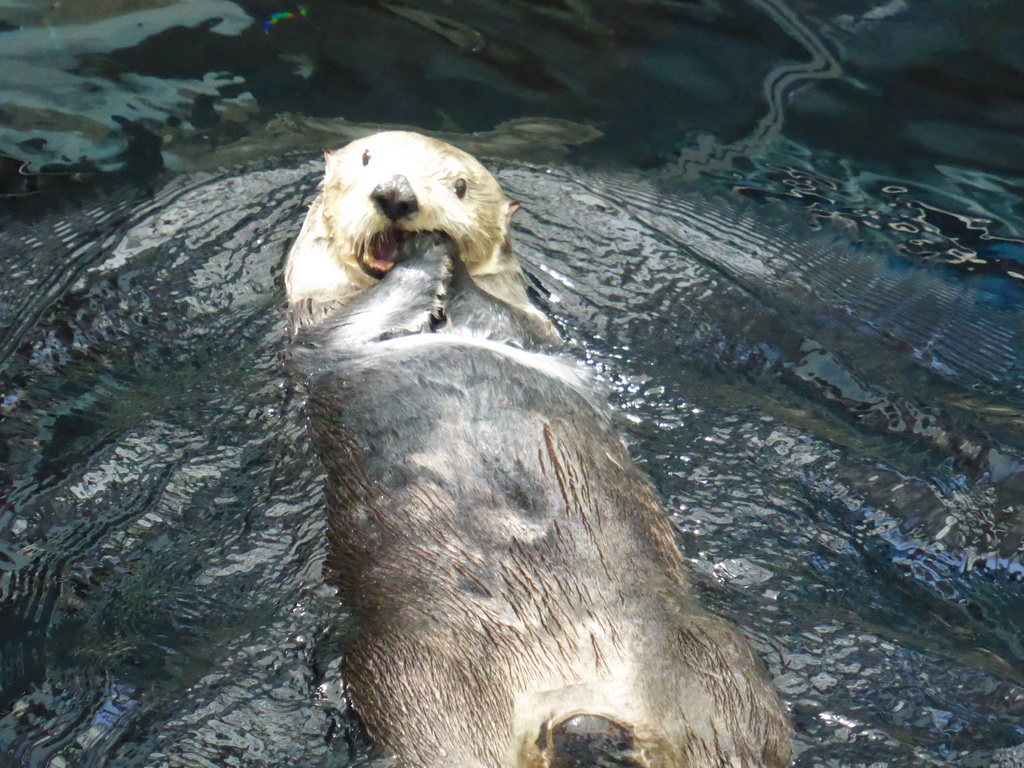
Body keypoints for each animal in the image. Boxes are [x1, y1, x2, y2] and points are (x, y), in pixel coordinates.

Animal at [288, 134, 790, 768]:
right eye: (367, 160)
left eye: (459, 186)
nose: (398, 196)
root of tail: (575, 697)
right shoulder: (318, 333)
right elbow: (350, 327)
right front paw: (426, 262)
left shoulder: (534, 333)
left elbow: (500, 311)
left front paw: (445, 259)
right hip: (412, 685)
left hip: (722, 673)